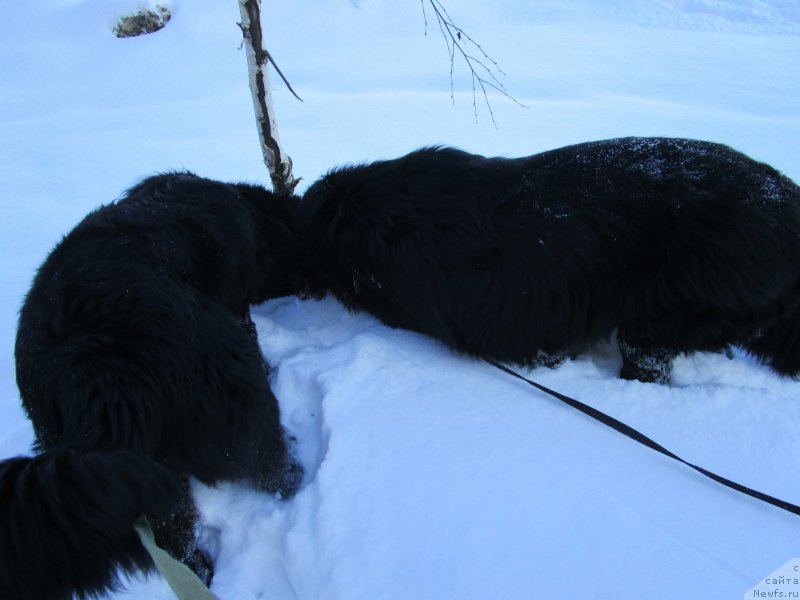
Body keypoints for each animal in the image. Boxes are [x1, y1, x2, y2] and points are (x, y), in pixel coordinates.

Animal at [1, 172, 302, 600]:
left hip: (135, 478)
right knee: (267, 463)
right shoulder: (238, 312)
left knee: (177, 541)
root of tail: (99, 375)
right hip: (233, 397)